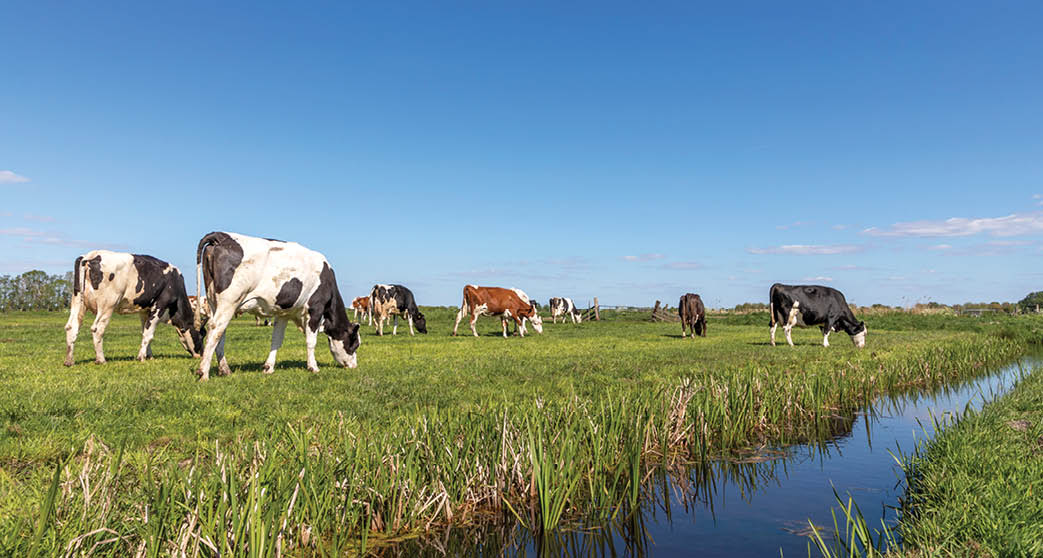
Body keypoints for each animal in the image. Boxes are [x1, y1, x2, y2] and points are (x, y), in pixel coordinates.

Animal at [64, 251, 205, 366]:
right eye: (202, 335)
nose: (202, 354)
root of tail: (90, 256)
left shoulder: (144, 310)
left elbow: (144, 331)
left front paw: (149, 356)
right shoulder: (160, 305)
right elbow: (149, 334)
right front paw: (141, 357)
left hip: (78, 302)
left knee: (72, 327)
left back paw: (69, 361)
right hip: (107, 305)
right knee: (97, 329)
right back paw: (101, 360)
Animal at [193, 232, 361, 380]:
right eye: (355, 343)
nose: (354, 366)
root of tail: (221, 235)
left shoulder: (283, 314)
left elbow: (277, 340)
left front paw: (268, 367)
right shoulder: (315, 309)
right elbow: (311, 341)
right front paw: (313, 367)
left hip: (214, 302)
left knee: (220, 333)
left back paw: (225, 370)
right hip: (230, 300)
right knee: (216, 329)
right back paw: (203, 373)